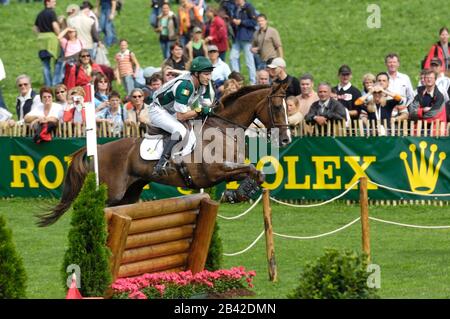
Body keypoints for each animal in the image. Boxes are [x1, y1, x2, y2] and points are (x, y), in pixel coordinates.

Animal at [39, 82, 292, 228]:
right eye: (277, 107)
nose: (286, 139)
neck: (224, 128)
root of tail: (99, 149)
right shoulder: (215, 171)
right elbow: (250, 169)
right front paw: (236, 194)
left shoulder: (229, 169)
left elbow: (255, 172)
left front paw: (238, 193)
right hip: (113, 192)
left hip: (130, 193)